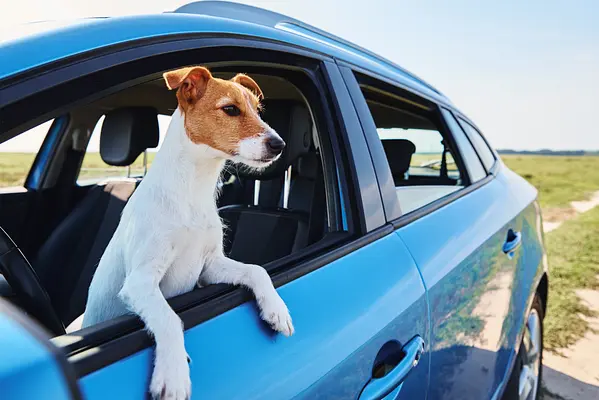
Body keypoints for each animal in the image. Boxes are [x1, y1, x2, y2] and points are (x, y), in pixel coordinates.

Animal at [82, 67, 298, 400]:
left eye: (258, 110)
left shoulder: (209, 266)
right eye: (230, 109)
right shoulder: (140, 281)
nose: (280, 145)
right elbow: (169, 318)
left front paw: (276, 309)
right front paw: (173, 373)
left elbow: (257, 270)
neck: (192, 188)